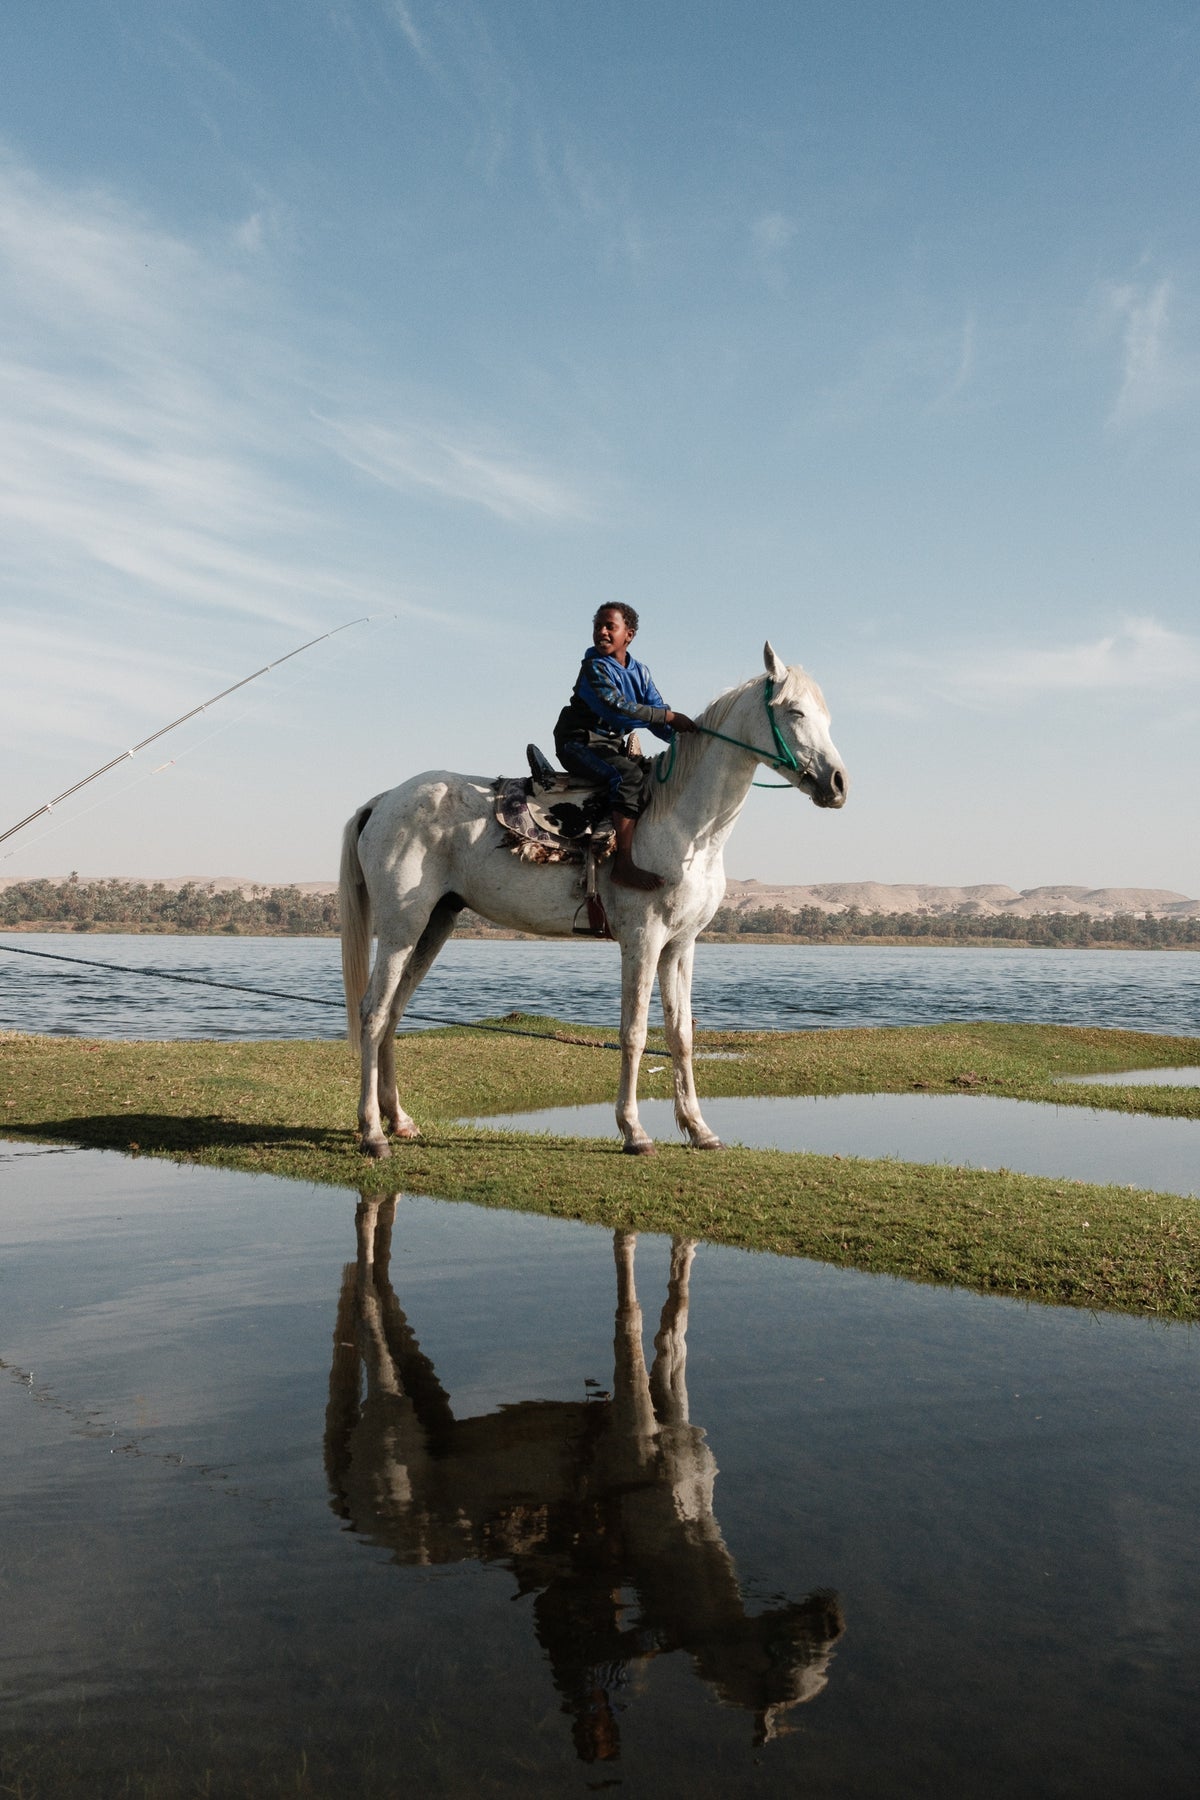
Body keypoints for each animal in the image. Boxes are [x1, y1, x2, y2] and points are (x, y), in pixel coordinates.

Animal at [340, 642, 847, 1157]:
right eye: (795, 710)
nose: (838, 784)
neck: (681, 825)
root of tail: (383, 800)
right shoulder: (643, 940)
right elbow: (635, 1033)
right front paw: (634, 1131)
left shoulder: (680, 946)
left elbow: (681, 1034)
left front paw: (699, 1128)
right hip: (401, 926)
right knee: (373, 1012)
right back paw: (372, 1132)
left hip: (434, 923)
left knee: (394, 1011)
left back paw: (399, 1120)